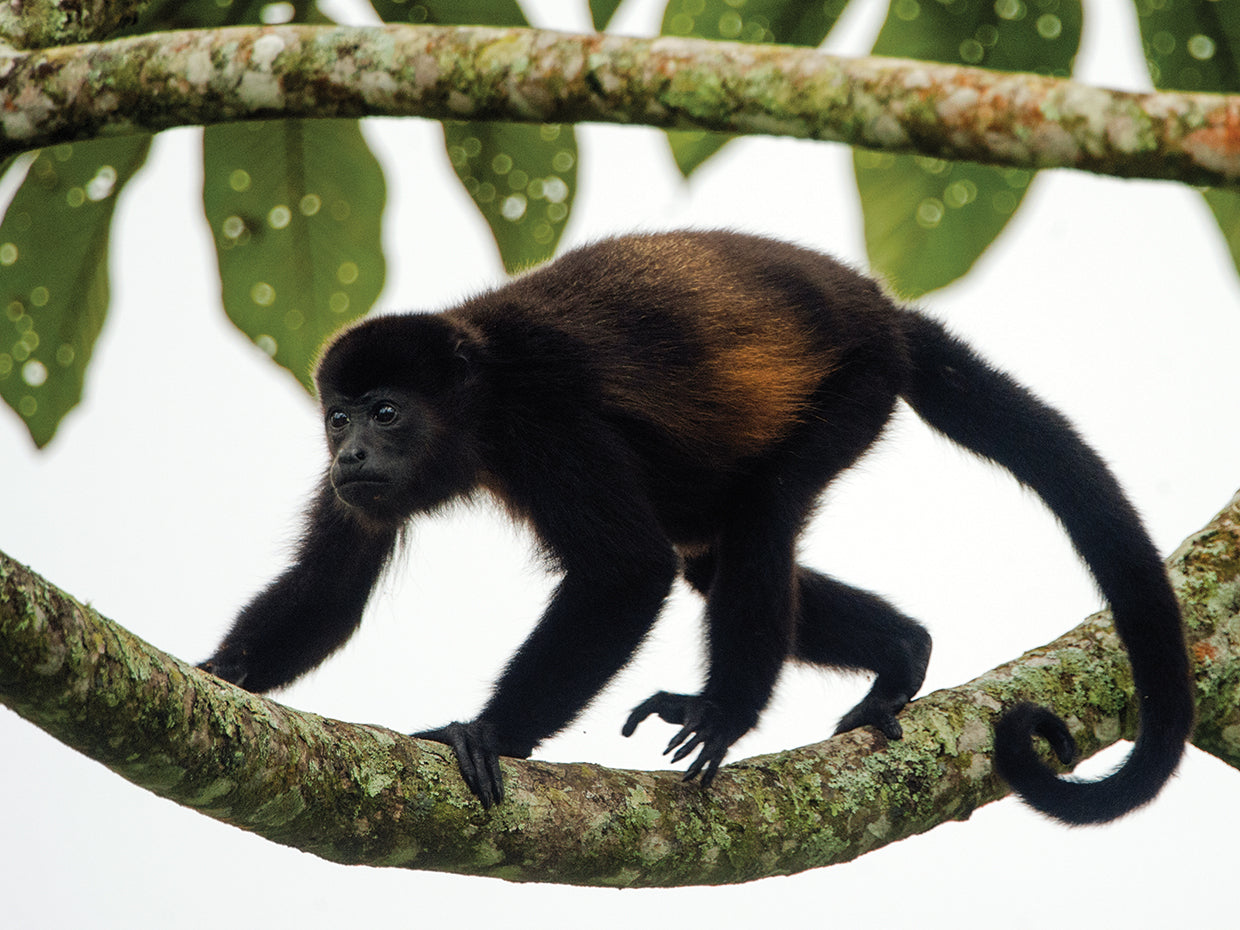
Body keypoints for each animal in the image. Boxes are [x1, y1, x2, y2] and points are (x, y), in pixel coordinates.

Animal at [198, 230, 1193, 824]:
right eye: (338, 419)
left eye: (387, 413)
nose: (349, 455)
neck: (477, 402)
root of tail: (879, 308)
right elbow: (331, 591)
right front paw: (216, 678)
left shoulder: (547, 421)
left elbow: (628, 572)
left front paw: (489, 735)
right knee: (713, 557)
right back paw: (903, 650)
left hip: (858, 383)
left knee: (759, 520)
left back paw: (728, 708)